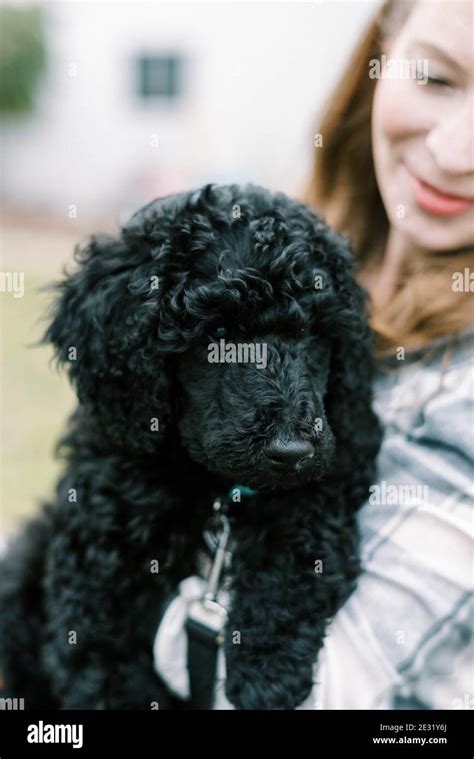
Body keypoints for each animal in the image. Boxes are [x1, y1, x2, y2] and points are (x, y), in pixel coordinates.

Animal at [0, 184, 382, 712]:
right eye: (216, 334)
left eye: (312, 334)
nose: (289, 449)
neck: (216, 492)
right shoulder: (97, 572)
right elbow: (108, 675)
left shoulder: (334, 458)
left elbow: (304, 536)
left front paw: (267, 667)